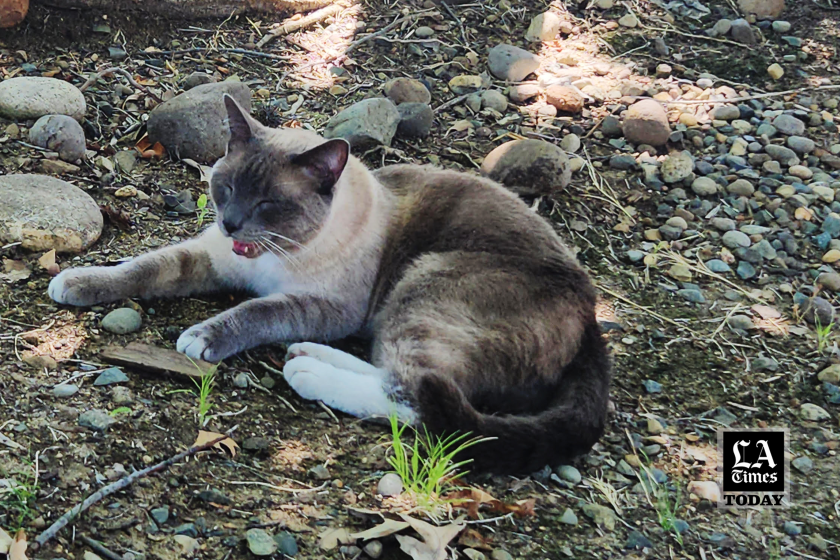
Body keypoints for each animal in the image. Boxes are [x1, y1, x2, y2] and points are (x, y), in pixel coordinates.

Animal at [47, 96, 612, 472]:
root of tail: (591, 314)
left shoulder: (325, 307)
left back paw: (308, 372)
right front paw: (73, 281)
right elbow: (141, 269)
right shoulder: (211, 258)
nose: (230, 223)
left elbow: (254, 312)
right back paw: (308, 356)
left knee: (418, 398)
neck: (267, 258)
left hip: (423, 286)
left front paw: (202, 338)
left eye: (268, 203)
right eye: (225, 187)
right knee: (401, 374)